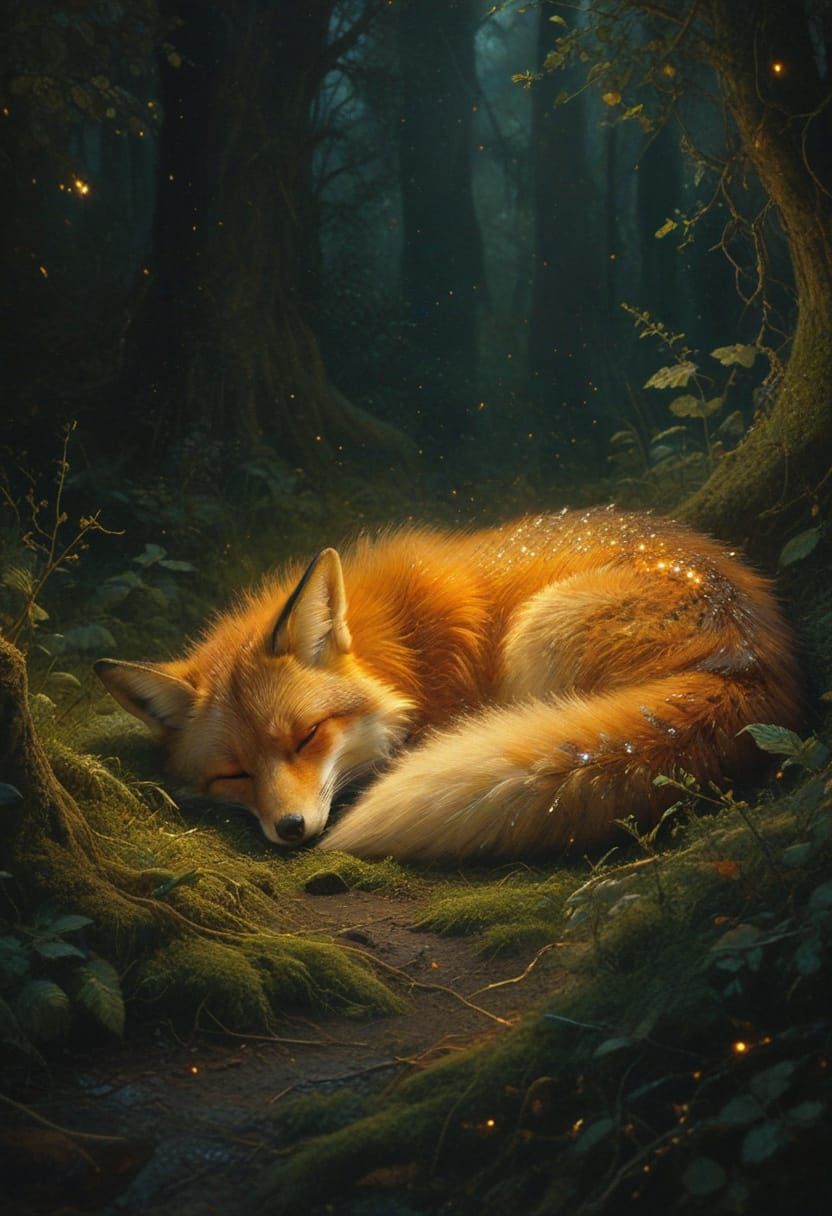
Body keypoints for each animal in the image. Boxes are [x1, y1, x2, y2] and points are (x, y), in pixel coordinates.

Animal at [94, 508, 802, 862]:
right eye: (233, 775)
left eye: (308, 737)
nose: (290, 829)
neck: (401, 647)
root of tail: (747, 663)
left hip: (537, 633)